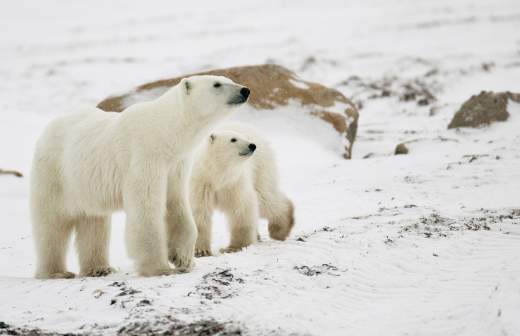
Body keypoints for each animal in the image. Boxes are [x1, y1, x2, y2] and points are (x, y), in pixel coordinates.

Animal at [30, 75, 250, 278]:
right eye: (217, 84)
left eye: (229, 79)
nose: (245, 90)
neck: (164, 132)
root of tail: (46, 131)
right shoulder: (145, 156)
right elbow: (146, 210)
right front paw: (159, 268)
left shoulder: (176, 164)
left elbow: (176, 204)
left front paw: (183, 259)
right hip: (55, 174)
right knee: (52, 225)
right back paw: (56, 272)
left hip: (86, 184)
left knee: (94, 222)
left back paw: (99, 268)